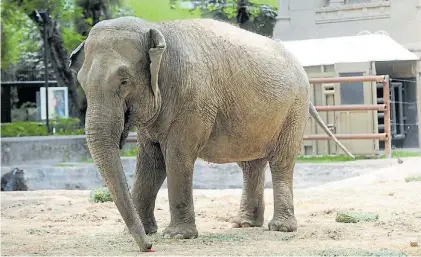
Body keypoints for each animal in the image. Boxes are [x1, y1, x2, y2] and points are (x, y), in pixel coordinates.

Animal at [68, 16, 352, 250]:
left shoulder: (193, 101)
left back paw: (280, 228)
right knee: (251, 164)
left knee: (281, 161)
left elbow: (176, 157)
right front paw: (139, 233)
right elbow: (150, 163)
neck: (159, 30)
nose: (148, 247)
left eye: (124, 81)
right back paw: (244, 224)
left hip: (294, 107)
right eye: (81, 83)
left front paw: (177, 236)